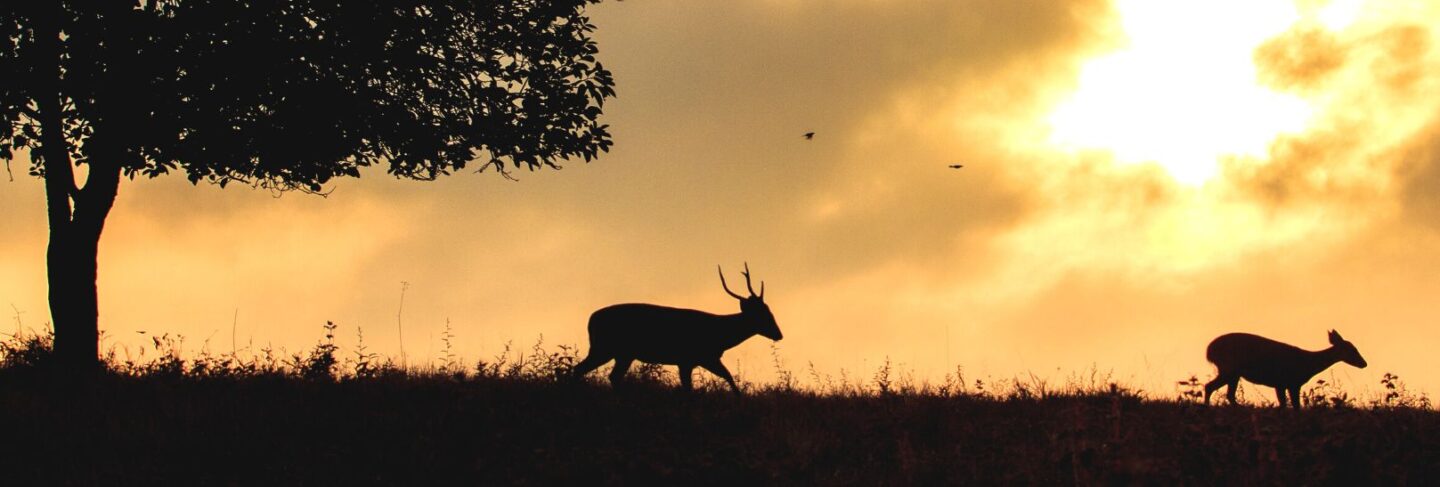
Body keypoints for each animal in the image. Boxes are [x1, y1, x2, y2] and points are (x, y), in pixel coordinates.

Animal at [567, 265, 783, 394]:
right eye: (763, 314)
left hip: (622, 353)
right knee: (581, 369)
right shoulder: (693, 358)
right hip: (605, 347)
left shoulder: (697, 360)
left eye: (769, 311)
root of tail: (591, 319)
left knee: (610, 375)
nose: (779, 334)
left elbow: (724, 377)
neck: (719, 335)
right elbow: (716, 380)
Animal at [1209, 328, 1365, 409]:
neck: (1308, 363)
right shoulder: (1291, 382)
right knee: (1210, 386)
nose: (1364, 363)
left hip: (1232, 372)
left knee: (1226, 393)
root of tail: (1209, 351)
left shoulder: (1281, 384)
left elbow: (1284, 404)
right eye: (1352, 350)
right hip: (1229, 369)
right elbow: (1295, 406)